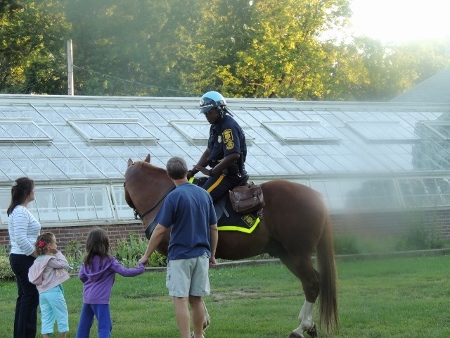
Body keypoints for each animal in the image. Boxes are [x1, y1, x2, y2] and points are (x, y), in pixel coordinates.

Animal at [124, 155, 338, 338]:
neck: (164, 195)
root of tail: (316, 196)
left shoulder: (178, 257)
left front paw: (200, 325)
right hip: (285, 253)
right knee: (313, 281)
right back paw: (309, 326)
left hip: (298, 254)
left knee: (311, 284)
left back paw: (300, 328)